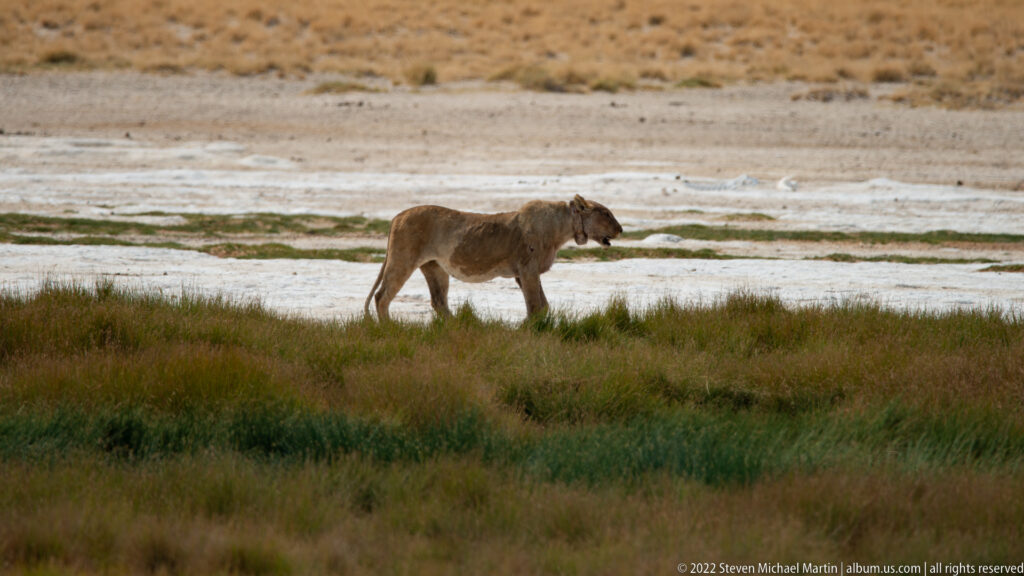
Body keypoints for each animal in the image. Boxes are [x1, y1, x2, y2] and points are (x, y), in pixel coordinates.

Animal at [364, 194, 623, 320]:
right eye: (606, 213)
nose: (621, 229)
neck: (563, 227)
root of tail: (398, 215)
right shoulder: (527, 269)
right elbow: (535, 305)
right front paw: (531, 331)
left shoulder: (523, 273)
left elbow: (543, 305)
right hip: (403, 259)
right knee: (381, 297)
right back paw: (390, 329)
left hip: (434, 267)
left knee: (439, 302)